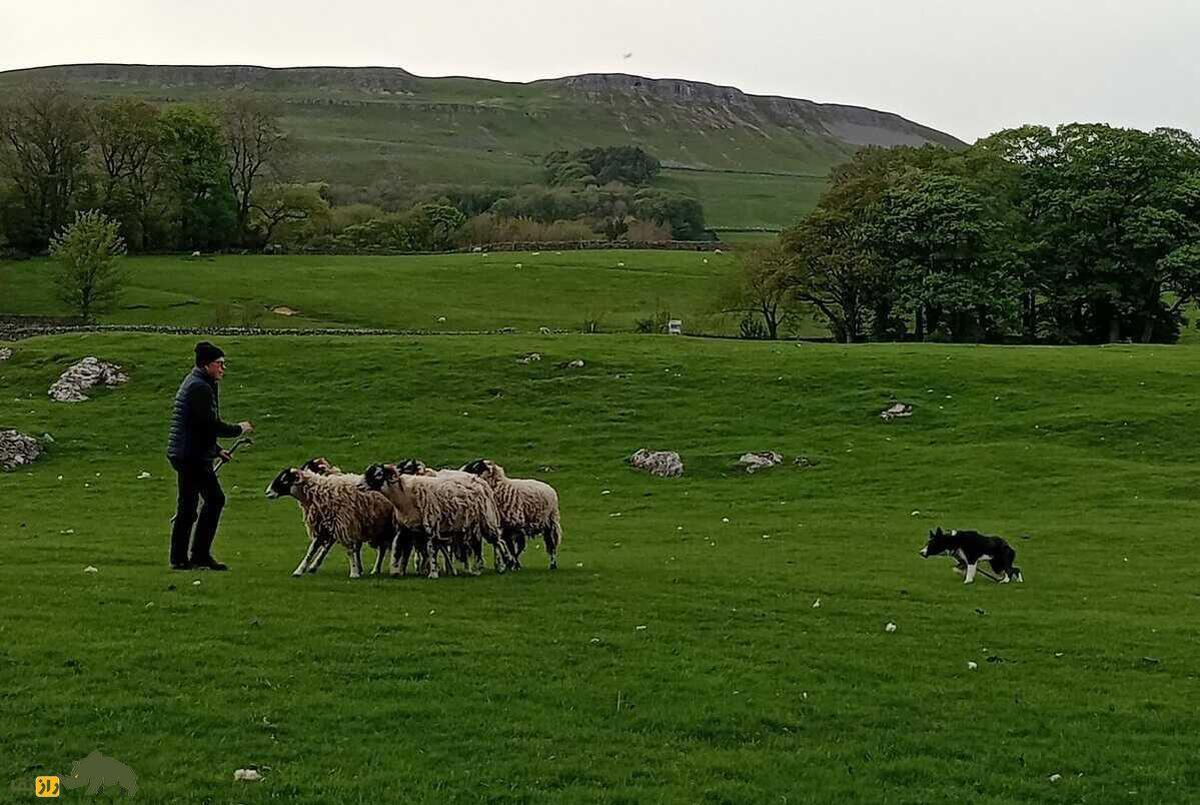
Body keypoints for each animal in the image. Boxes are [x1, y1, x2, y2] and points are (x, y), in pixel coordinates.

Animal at [264, 465, 398, 580]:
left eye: (284, 479)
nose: (267, 492)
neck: (318, 492)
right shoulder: (322, 527)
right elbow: (311, 550)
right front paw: (299, 570)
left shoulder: (343, 524)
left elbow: (349, 550)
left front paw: (354, 573)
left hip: (385, 527)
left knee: (382, 548)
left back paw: (376, 569)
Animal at [355, 463, 506, 575]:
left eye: (378, 474)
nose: (358, 486)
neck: (404, 496)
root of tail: (481, 481)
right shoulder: (408, 528)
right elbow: (403, 550)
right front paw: (400, 571)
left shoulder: (431, 526)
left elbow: (431, 550)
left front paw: (432, 573)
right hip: (468, 526)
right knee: (476, 545)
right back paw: (476, 569)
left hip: (486, 520)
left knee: (497, 542)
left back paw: (501, 566)